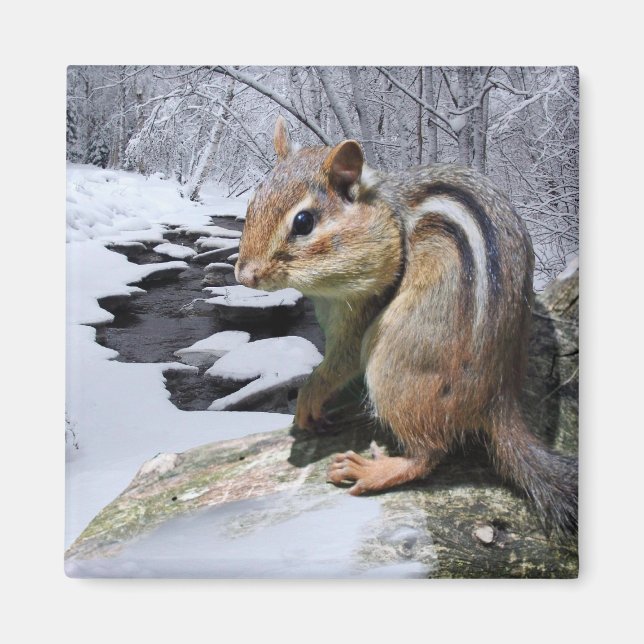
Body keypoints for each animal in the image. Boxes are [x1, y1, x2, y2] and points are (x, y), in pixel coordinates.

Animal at [235, 116, 578, 538]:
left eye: (303, 222)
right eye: (252, 202)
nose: (244, 275)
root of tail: (498, 399)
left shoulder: (363, 308)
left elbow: (341, 362)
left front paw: (310, 394)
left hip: (392, 365)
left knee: (429, 455)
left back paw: (374, 470)